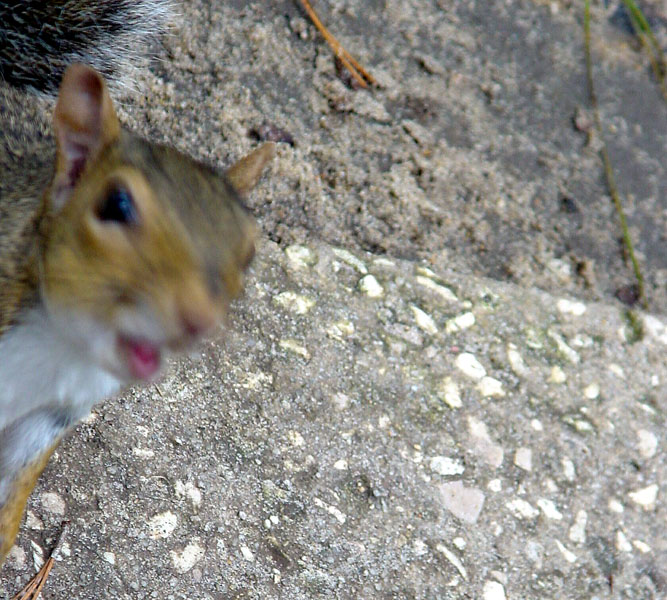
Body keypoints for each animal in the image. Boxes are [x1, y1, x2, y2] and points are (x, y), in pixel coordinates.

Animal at [0, 0, 276, 564]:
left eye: (250, 251)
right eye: (116, 204)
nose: (198, 320)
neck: (56, 346)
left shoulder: (51, 414)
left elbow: (12, 494)